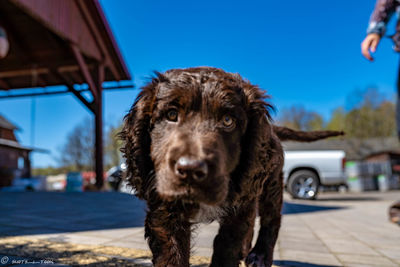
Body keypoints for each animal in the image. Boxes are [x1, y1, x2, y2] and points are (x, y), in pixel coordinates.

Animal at [120, 67, 342, 267]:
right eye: (171, 115)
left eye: (228, 121)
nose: (190, 170)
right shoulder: (164, 207)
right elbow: (172, 254)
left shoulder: (240, 205)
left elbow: (227, 247)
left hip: (269, 184)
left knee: (271, 218)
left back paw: (260, 255)